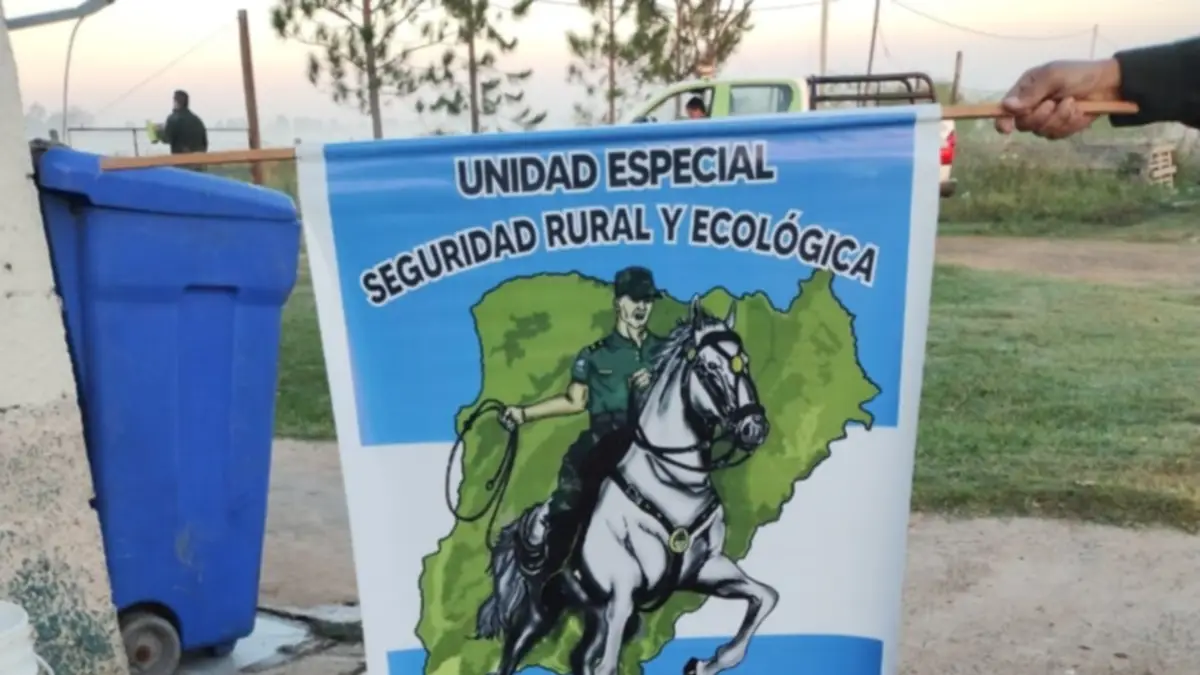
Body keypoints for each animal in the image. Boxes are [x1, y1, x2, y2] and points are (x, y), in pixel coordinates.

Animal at [473, 296, 776, 675]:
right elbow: (607, 666)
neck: (671, 485)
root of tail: (528, 520)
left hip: (594, 613)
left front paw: (704, 664)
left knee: (580, 657)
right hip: (544, 608)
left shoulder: (705, 570)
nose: (754, 427)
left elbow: (766, 596)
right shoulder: (622, 592)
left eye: (744, 362)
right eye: (708, 368)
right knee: (514, 649)